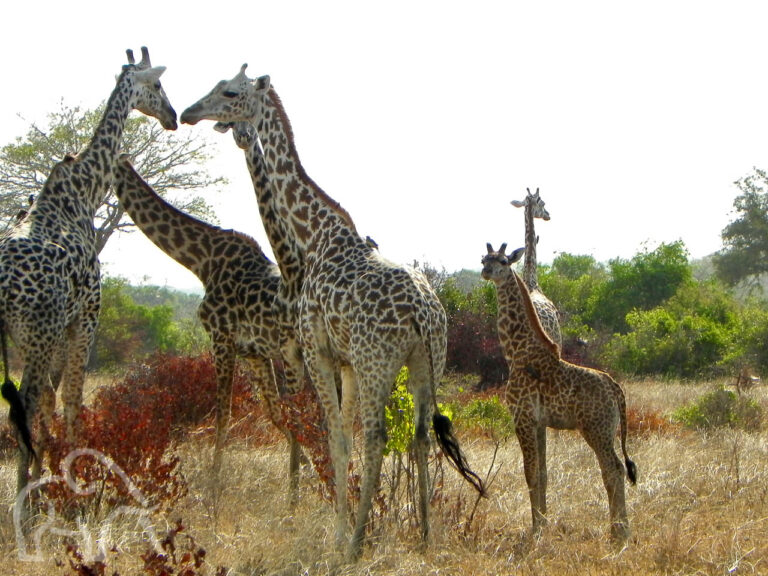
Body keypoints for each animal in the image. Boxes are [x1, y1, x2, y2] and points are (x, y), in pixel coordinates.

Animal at [0, 47, 176, 496]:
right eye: (157, 85)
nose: (172, 116)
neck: (86, 188)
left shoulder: (62, 324)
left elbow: (53, 399)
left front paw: (48, 470)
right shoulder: (86, 315)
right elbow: (73, 398)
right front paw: (77, 477)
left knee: (26, 402)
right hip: (38, 332)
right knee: (24, 403)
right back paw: (23, 500)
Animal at [110, 155, 304, 492]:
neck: (201, 261)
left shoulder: (221, 338)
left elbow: (223, 414)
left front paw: (214, 486)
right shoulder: (254, 352)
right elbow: (275, 413)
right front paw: (307, 469)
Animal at [180, 66, 484, 560]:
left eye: (228, 91)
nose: (189, 112)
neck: (315, 234)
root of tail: (423, 314)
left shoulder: (318, 351)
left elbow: (336, 437)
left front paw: (340, 535)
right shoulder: (345, 362)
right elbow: (342, 434)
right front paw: (346, 525)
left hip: (378, 360)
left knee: (377, 436)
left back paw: (360, 543)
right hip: (428, 362)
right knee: (420, 434)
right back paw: (423, 534)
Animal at [480, 243, 636, 544]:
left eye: (503, 261)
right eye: (483, 259)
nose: (486, 271)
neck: (516, 352)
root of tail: (617, 389)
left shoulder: (522, 417)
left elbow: (529, 472)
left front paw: (536, 529)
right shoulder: (539, 423)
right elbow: (542, 473)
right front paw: (543, 522)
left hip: (596, 429)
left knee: (614, 468)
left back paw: (619, 532)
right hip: (606, 430)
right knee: (617, 468)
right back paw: (619, 529)